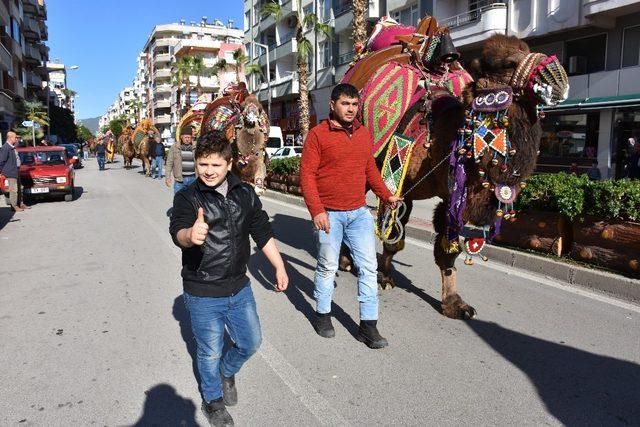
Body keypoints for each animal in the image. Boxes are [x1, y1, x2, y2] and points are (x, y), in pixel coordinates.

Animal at [340, 15, 568, 318]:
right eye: (507, 63)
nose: (558, 75)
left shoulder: (452, 195)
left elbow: (447, 248)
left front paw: (454, 303)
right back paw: (347, 261)